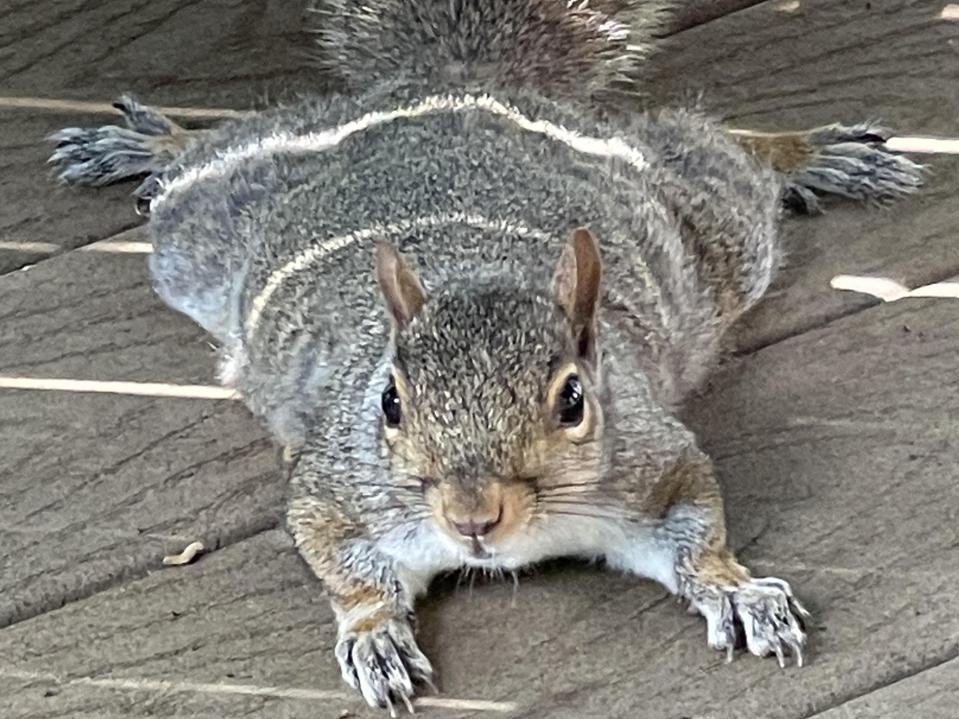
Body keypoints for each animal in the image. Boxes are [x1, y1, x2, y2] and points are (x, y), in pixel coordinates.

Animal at [48, 0, 924, 713]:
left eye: (572, 400)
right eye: (389, 401)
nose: (472, 518)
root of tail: (453, 85)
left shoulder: (654, 462)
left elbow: (698, 527)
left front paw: (733, 589)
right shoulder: (333, 489)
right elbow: (341, 562)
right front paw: (373, 631)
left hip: (716, 231)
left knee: (711, 152)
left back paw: (807, 152)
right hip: (201, 228)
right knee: (214, 157)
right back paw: (154, 137)